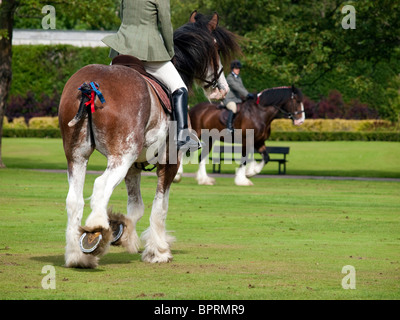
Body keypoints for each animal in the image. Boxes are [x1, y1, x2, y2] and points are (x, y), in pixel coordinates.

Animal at [59, 11, 239, 268]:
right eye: (215, 48)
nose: (222, 89)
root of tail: (90, 85)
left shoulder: (134, 167)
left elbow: (136, 208)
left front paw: (123, 232)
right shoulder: (169, 163)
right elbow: (159, 208)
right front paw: (158, 250)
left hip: (77, 156)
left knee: (74, 199)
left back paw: (77, 254)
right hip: (121, 157)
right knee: (101, 186)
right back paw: (95, 230)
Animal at [176, 85, 306, 185]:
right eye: (297, 101)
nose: (301, 121)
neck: (259, 113)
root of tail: (193, 109)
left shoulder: (259, 142)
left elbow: (266, 158)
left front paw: (250, 172)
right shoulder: (247, 141)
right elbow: (244, 158)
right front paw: (242, 179)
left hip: (209, 139)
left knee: (201, 157)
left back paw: (204, 179)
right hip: (196, 135)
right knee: (183, 150)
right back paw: (178, 175)